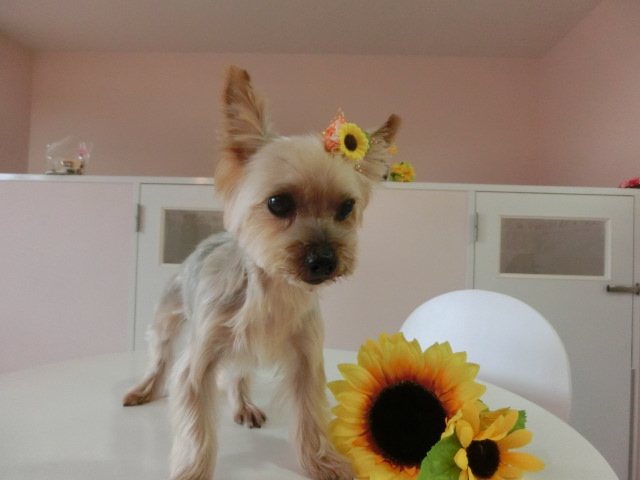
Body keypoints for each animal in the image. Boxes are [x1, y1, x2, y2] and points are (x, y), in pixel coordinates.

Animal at [123, 65, 400, 480]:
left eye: (346, 207)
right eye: (278, 203)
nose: (325, 260)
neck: (274, 289)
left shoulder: (306, 358)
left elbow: (310, 416)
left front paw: (323, 462)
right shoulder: (200, 359)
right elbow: (195, 425)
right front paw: (192, 471)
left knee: (238, 375)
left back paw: (243, 405)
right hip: (169, 316)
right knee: (160, 354)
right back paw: (145, 388)